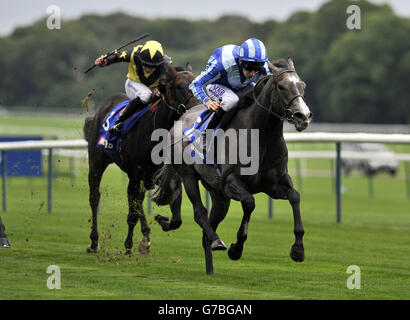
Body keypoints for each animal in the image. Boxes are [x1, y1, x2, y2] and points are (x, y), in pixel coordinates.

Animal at [83, 64, 199, 255]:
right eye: (179, 86)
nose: (198, 107)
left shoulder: (165, 175)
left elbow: (175, 219)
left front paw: (161, 222)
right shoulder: (136, 174)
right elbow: (132, 214)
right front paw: (128, 246)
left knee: (137, 201)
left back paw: (145, 236)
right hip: (97, 161)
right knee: (95, 197)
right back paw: (94, 241)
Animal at [152, 57, 312, 272]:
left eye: (302, 85)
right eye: (281, 86)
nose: (303, 116)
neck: (261, 136)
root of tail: (178, 123)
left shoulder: (275, 183)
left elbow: (295, 196)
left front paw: (298, 249)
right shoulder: (230, 183)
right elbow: (249, 203)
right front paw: (236, 249)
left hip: (218, 193)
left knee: (208, 227)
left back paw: (209, 266)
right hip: (189, 176)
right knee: (199, 213)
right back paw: (217, 241)